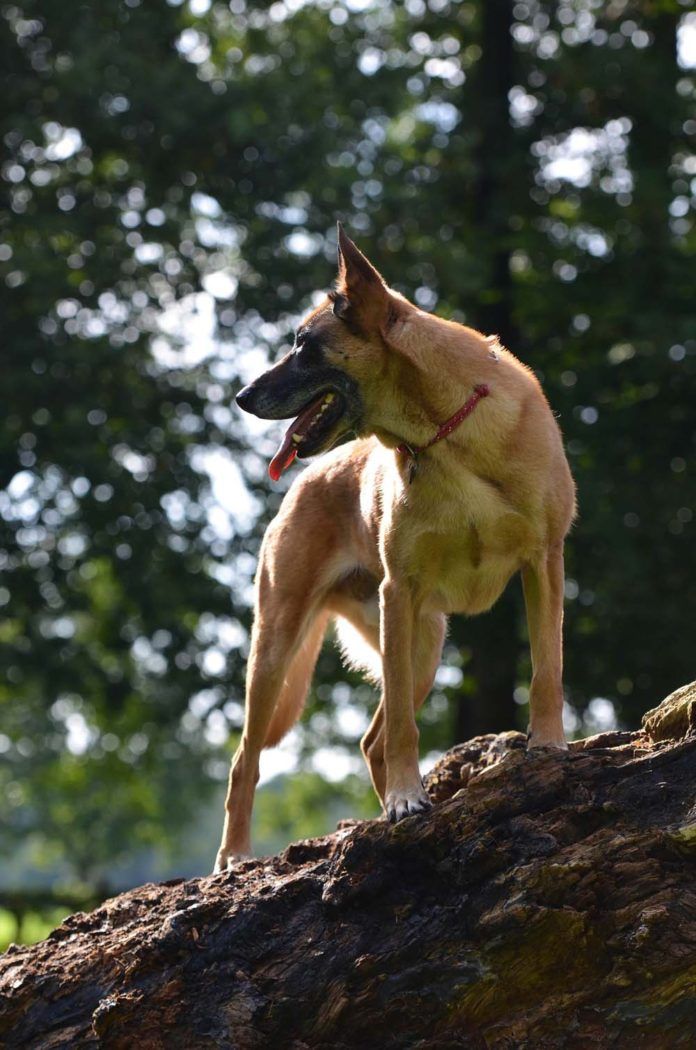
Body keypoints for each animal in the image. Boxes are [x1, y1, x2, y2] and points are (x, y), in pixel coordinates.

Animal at [215, 223, 575, 869]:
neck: (445, 432)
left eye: (305, 346)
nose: (241, 395)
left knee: (369, 740)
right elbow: (407, 727)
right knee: (248, 759)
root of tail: (304, 483)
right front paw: (409, 801)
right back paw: (236, 855)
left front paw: (551, 745)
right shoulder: (398, 589)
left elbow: (546, 670)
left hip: (424, 643)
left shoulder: (544, 563)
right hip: (283, 643)